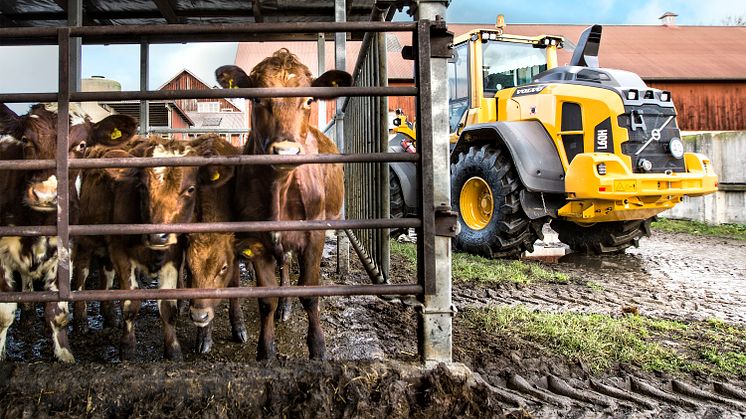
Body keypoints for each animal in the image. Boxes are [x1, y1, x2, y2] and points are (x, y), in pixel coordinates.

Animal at [0, 103, 135, 362]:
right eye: (26, 139)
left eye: (81, 145)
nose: (45, 194)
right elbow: (4, 313)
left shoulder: (66, 248)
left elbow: (57, 311)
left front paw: (64, 355)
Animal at [215, 47, 348, 360]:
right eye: (257, 98)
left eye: (309, 99)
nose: (286, 150)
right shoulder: (257, 242)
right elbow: (266, 300)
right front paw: (265, 351)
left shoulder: (314, 236)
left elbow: (309, 294)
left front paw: (318, 347)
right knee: (284, 265)